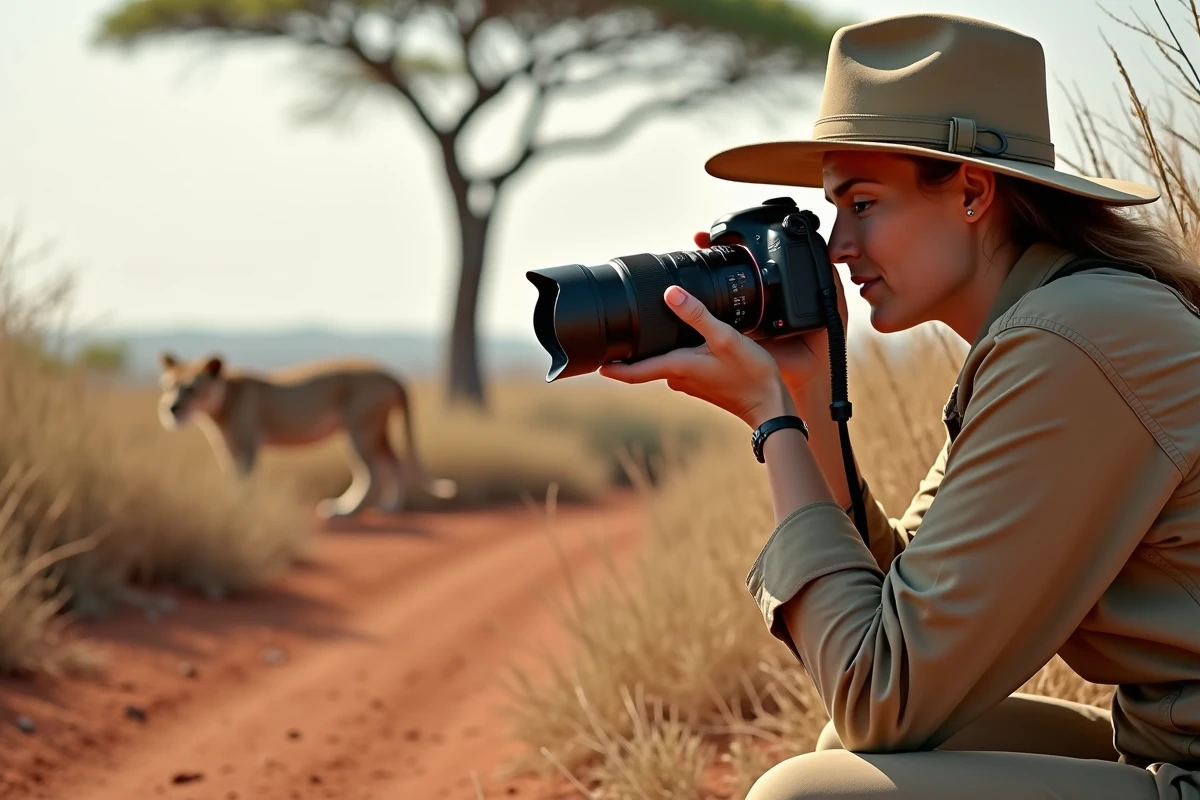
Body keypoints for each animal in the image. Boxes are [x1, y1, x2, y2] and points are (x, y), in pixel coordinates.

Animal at [156, 351, 458, 519]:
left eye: (192, 388)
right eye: (168, 386)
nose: (171, 408)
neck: (222, 401)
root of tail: (392, 375)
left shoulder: (248, 443)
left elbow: (245, 478)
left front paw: (241, 507)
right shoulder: (227, 446)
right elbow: (231, 475)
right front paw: (229, 502)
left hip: (359, 429)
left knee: (371, 472)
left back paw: (344, 511)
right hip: (376, 429)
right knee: (393, 462)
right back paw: (390, 507)